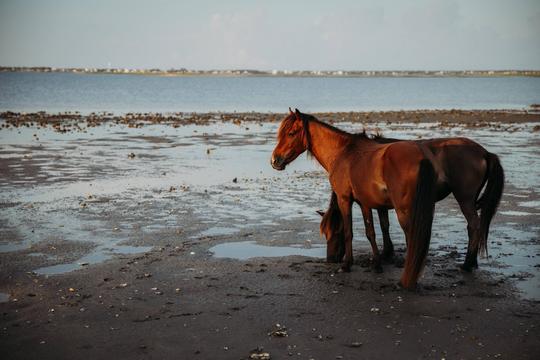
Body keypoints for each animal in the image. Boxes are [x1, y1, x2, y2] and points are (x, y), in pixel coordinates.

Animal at [272, 108, 436, 288]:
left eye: (291, 133)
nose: (274, 160)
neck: (343, 153)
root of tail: (421, 158)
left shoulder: (345, 199)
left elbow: (349, 231)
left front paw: (347, 265)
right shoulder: (365, 203)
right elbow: (371, 231)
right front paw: (377, 263)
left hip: (404, 210)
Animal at [318, 135, 504, 272]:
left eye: (335, 231)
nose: (331, 259)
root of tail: (485, 152)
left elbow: (382, 225)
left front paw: (385, 254)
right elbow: (384, 224)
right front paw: (386, 253)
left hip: (465, 199)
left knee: (473, 226)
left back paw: (467, 264)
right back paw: (472, 262)